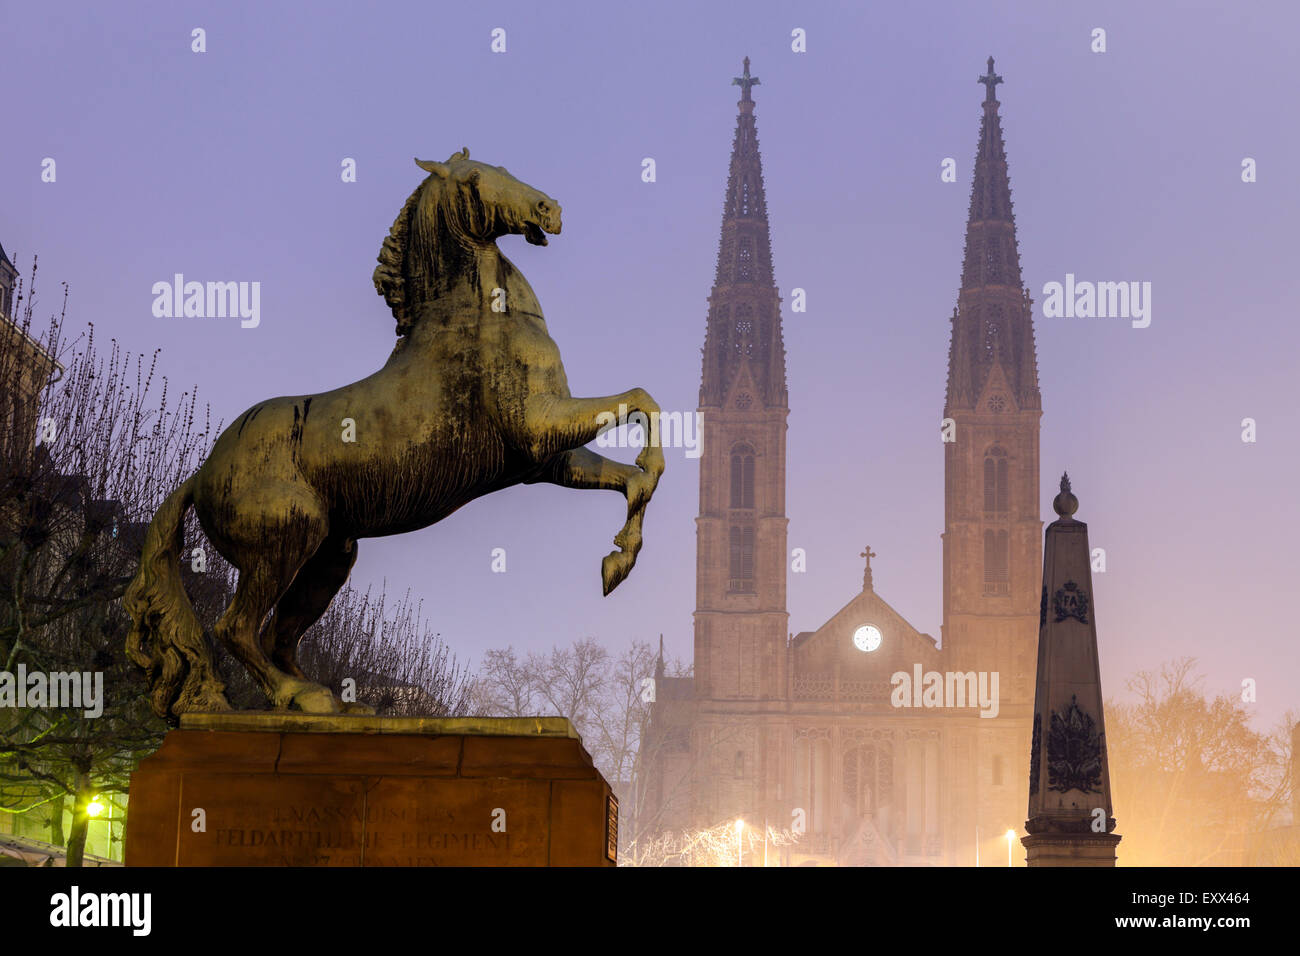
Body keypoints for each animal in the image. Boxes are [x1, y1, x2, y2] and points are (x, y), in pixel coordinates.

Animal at [125, 149, 665, 717]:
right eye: (476, 179)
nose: (549, 208)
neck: (479, 318)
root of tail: (200, 476)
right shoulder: (539, 426)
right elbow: (642, 401)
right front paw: (621, 550)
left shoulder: (546, 459)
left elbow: (631, 477)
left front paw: (618, 560)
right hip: (284, 543)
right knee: (235, 627)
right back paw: (299, 697)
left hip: (329, 558)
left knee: (278, 635)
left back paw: (332, 702)